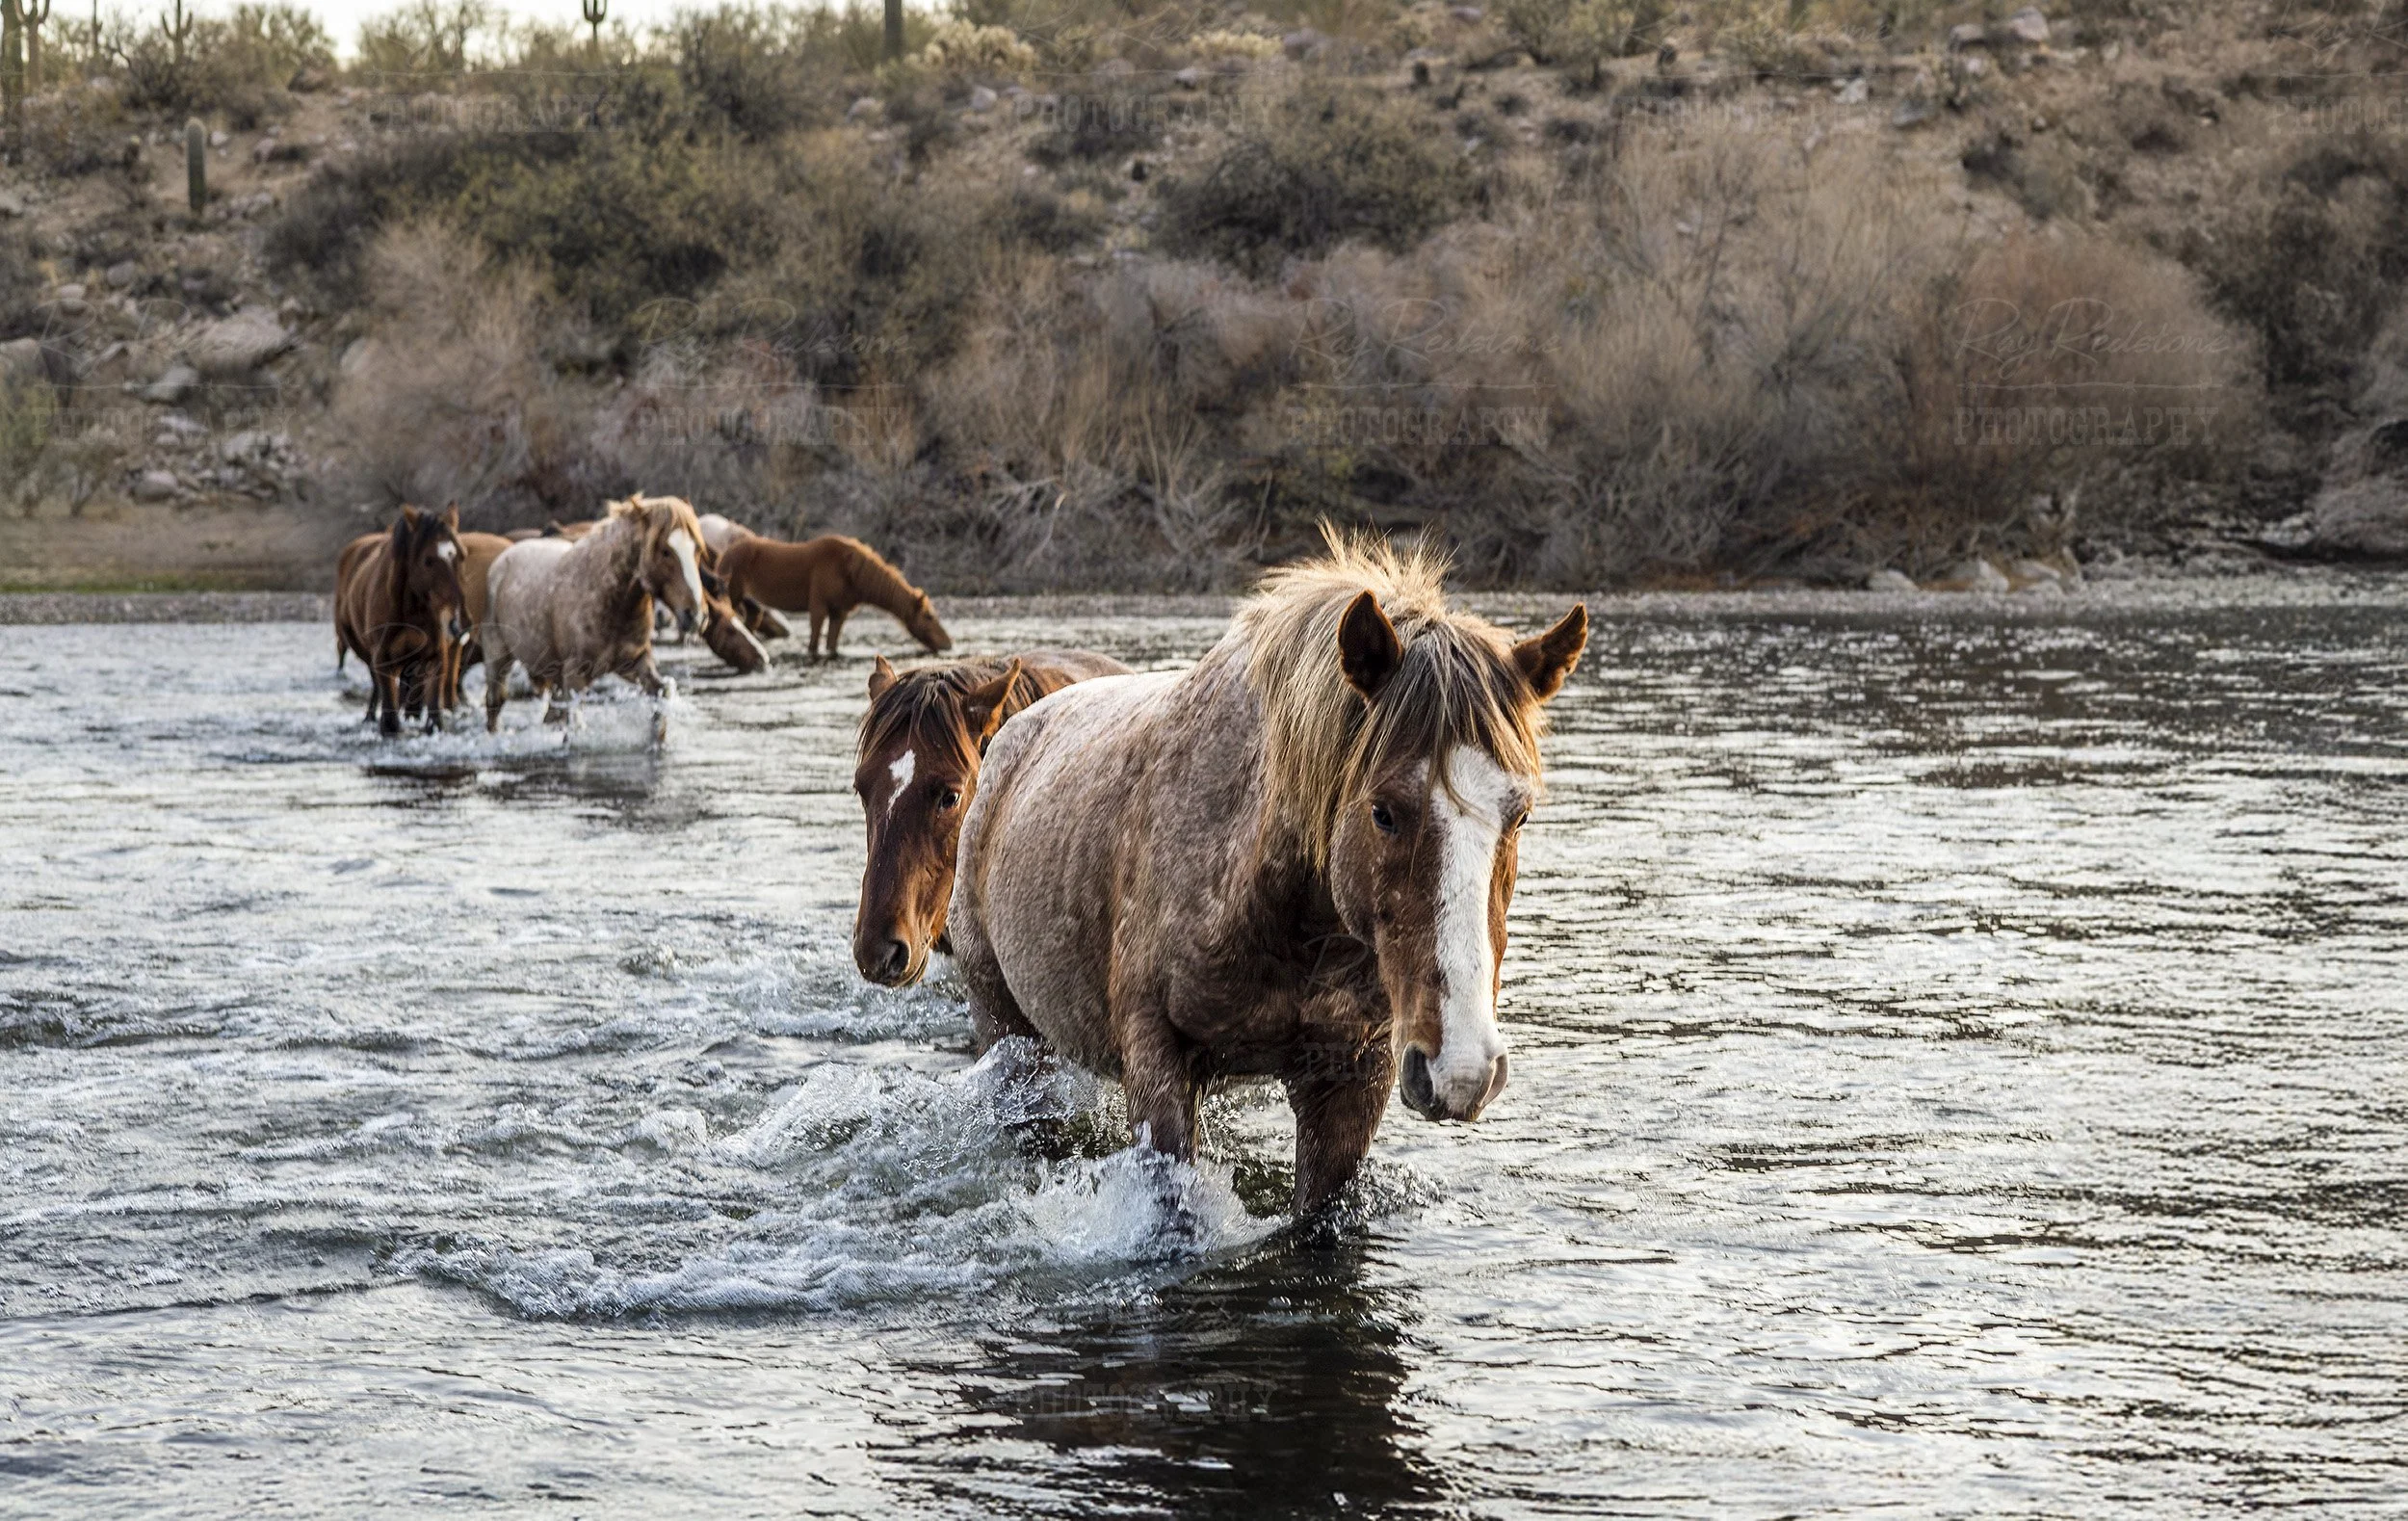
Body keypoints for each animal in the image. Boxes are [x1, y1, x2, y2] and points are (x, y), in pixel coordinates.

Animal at [334, 503, 470, 738]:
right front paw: (388, 726)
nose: (459, 623)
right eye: (428, 560)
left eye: (462, 556)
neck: (411, 610)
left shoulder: (436, 654)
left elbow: (434, 704)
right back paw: (371, 716)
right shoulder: (381, 657)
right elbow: (388, 703)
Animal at [480, 495, 709, 733]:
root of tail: (503, 559)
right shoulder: (575, 675)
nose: (696, 616)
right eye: (665, 551)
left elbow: (662, 692)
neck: (609, 601)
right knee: (495, 701)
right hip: (497, 656)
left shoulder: (634, 662)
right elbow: (577, 728)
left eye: (697, 550)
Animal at [714, 533, 949, 659]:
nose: (948, 644)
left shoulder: (839, 612)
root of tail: (724, 555)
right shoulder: (818, 608)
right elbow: (814, 644)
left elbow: (831, 645)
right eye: (929, 616)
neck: (850, 571)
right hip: (733, 596)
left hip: (747, 600)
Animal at [948, 534, 1586, 1218]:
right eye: (1383, 811)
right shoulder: (1155, 1063)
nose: (1463, 1069)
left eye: (1519, 814)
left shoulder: (1348, 1081)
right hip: (1009, 1033)